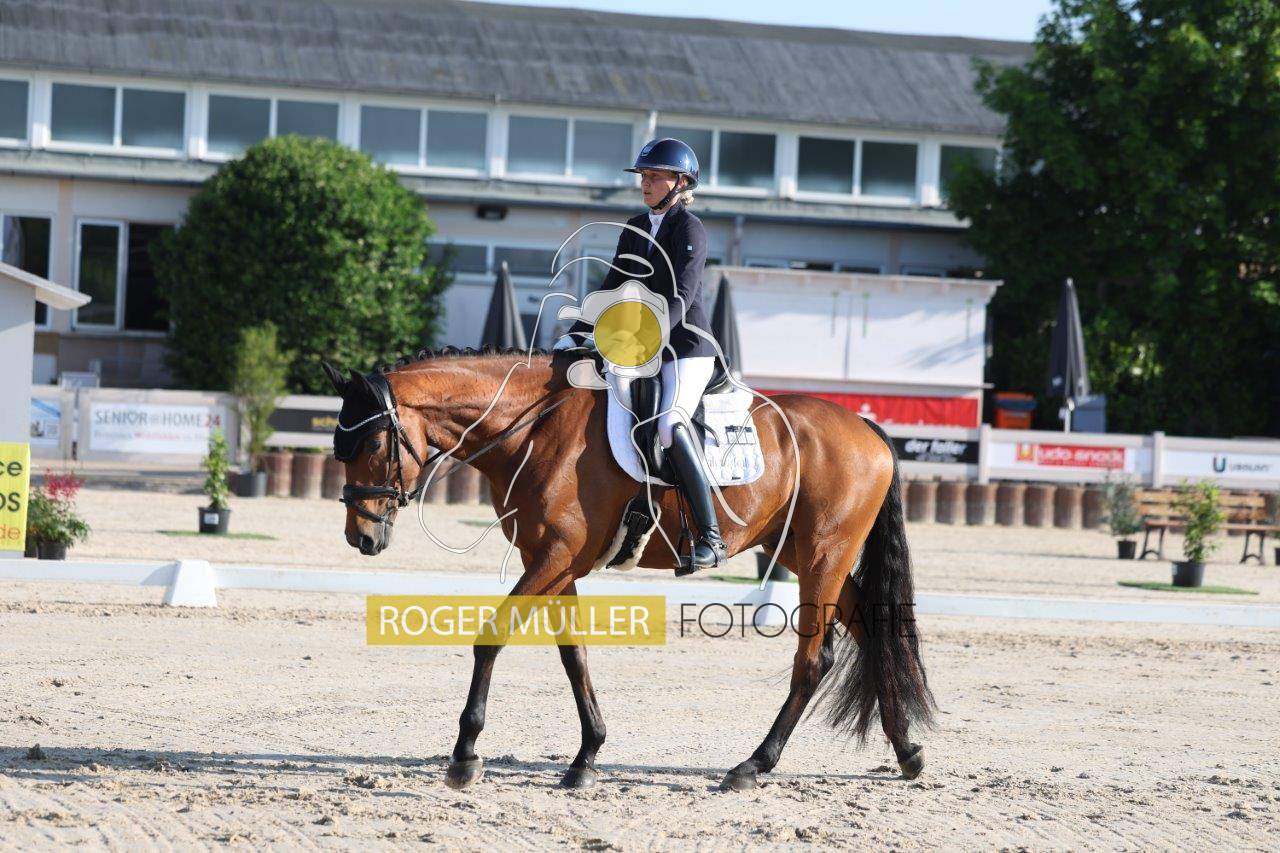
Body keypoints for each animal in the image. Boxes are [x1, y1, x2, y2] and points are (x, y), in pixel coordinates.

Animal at [323, 346, 935, 791]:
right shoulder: (555, 562)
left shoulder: (556, 557)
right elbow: (573, 657)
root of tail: (864, 426)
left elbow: (491, 638)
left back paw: (751, 766)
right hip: (799, 552)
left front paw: (465, 754)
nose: (361, 536)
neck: (536, 428)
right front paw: (586, 757)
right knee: (872, 633)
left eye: (372, 442)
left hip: (824, 554)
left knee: (813, 660)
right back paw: (907, 753)